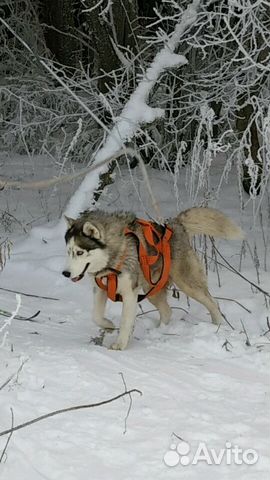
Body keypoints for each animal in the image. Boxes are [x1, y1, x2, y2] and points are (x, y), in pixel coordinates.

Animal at [62, 208, 243, 350]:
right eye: (68, 251)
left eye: (80, 252)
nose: (65, 273)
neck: (112, 261)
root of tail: (175, 225)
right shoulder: (100, 289)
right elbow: (96, 316)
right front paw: (108, 325)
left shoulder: (130, 293)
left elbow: (126, 322)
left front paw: (120, 344)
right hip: (152, 290)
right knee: (167, 311)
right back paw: (159, 330)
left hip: (187, 284)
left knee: (213, 302)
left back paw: (217, 325)